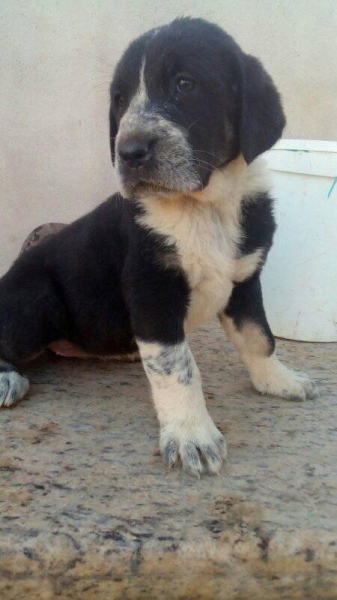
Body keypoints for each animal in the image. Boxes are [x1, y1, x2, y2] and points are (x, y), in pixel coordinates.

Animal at [0, 18, 316, 476]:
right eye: (119, 100)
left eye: (184, 84)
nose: (128, 152)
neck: (204, 208)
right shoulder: (153, 289)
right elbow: (178, 368)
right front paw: (192, 436)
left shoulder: (243, 280)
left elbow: (260, 337)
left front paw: (278, 381)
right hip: (33, 305)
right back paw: (8, 377)